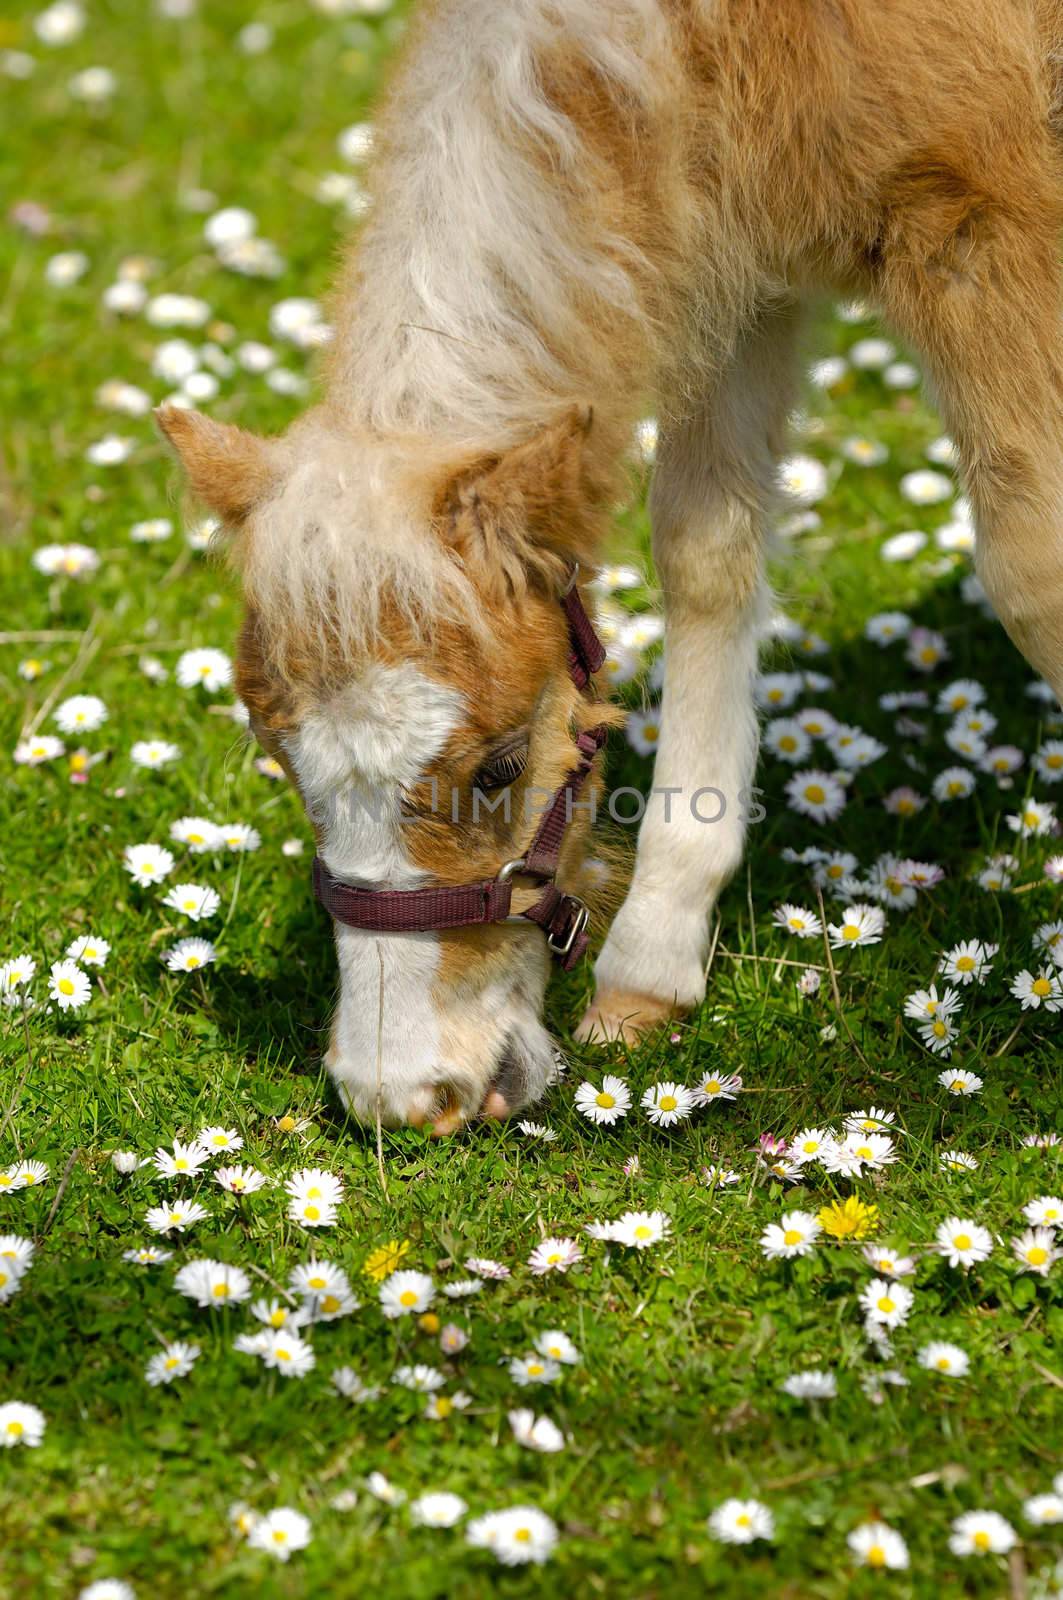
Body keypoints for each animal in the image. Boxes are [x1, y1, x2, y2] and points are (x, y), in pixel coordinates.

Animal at [160, 0, 1063, 1132]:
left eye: (501, 767)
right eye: (280, 762)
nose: (405, 1095)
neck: (718, 39)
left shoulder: (982, 219)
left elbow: (1032, 571)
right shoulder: (726, 246)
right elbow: (704, 547)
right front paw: (651, 961)